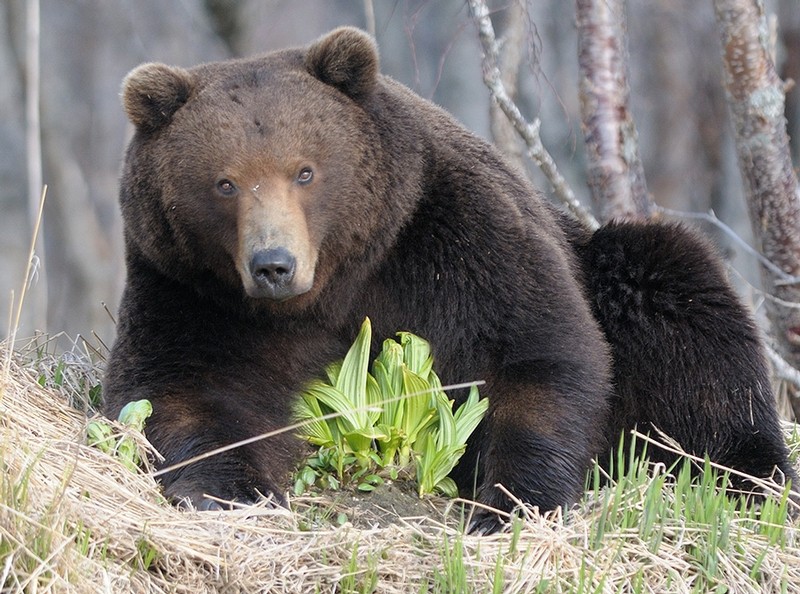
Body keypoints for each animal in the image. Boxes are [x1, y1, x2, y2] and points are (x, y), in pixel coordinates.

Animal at [104, 26, 792, 532]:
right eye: (225, 183)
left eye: (304, 171)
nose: (274, 264)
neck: (336, 282)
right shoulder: (192, 291)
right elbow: (183, 388)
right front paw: (228, 490)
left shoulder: (448, 240)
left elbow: (536, 352)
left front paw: (508, 502)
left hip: (618, 273)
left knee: (680, 302)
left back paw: (743, 472)